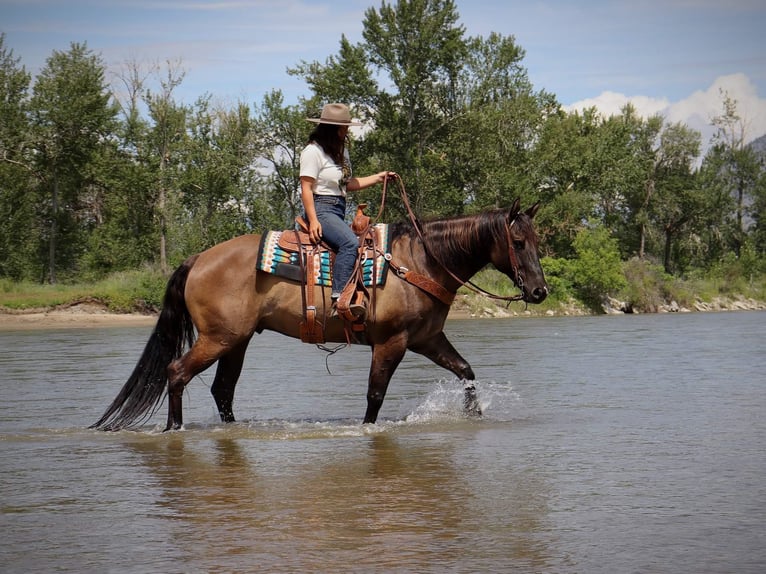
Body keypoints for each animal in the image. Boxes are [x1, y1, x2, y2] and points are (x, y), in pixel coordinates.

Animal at [93, 198, 548, 432]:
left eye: (537, 240)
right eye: (518, 242)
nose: (540, 291)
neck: (419, 262)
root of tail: (198, 258)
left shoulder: (427, 339)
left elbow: (466, 372)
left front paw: (474, 417)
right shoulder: (392, 342)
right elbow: (375, 394)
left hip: (235, 341)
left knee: (222, 390)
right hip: (217, 339)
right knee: (176, 372)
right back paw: (174, 430)